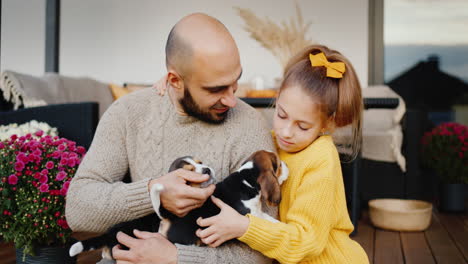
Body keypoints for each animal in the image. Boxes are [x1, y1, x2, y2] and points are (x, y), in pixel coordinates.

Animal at [68, 150, 288, 258]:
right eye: (278, 164)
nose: (287, 165)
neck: (246, 176)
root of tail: (170, 217)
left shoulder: (257, 211)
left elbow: (266, 218)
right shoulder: (247, 212)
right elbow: (259, 218)